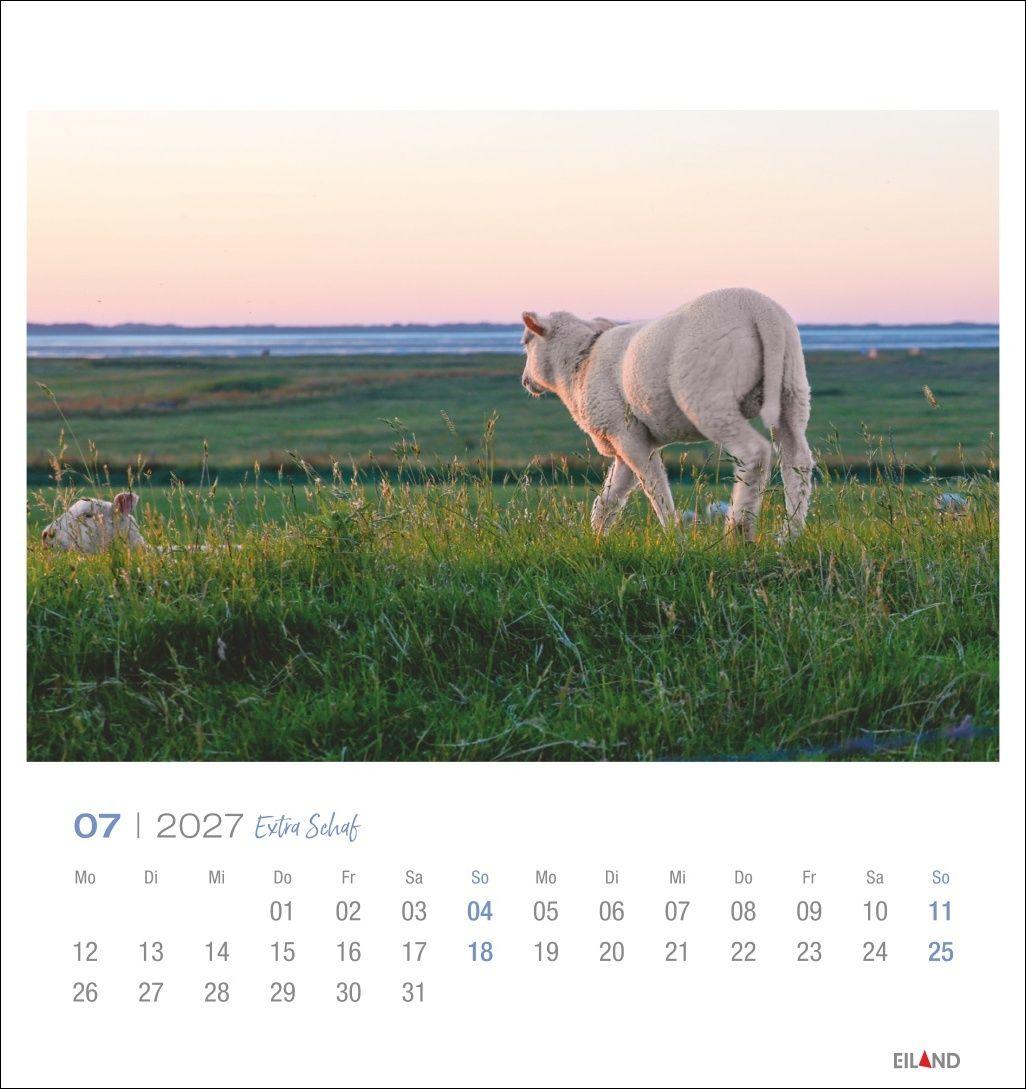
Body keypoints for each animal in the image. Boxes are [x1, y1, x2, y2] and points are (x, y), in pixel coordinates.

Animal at [521, 288, 813, 541]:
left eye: (525, 342)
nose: (525, 381)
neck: (579, 365)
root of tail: (760, 309)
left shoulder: (625, 434)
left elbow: (654, 487)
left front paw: (675, 535)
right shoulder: (626, 440)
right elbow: (610, 497)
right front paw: (597, 537)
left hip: (709, 395)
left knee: (754, 453)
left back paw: (738, 533)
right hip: (792, 387)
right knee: (797, 461)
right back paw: (790, 535)